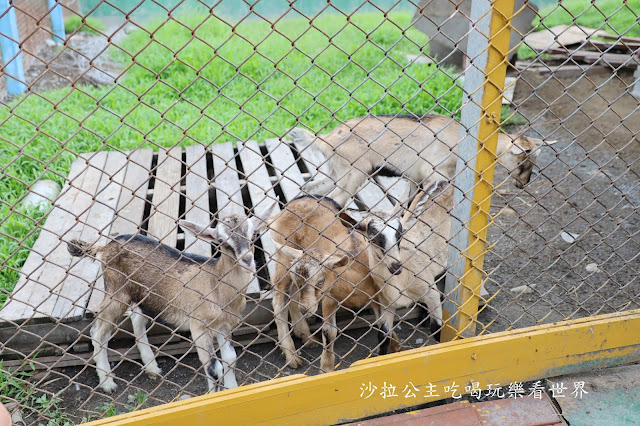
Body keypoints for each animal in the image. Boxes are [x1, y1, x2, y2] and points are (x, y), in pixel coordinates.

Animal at [67, 203, 276, 392]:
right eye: (222, 241)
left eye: (253, 235)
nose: (247, 260)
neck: (216, 284)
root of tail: (105, 247)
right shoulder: (198, 325)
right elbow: (213, 367)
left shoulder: (224, 325)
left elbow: (230, 358)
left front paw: (232, 390)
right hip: (116, 291)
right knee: (98, 332)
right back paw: (107, 383)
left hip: (143, 295)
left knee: (136, 319)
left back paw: (151, 366)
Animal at [268, 195, 402, 372]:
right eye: (373, 237)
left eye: (400, 235)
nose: (396, 266)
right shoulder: (329, 297)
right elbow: (329, 332)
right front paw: (326, 368)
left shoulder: (377, 297)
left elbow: (384, 326)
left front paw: (396, 347)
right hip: (282, 257)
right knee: (279, 304)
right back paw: (292, 357)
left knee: (293, 297)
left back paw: (307, 336)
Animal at [290, 113, 556, 206]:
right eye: (523, 162)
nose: (523, 183)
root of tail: (326, 140)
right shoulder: (434, 174)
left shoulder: (414, 177)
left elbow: (401, 206)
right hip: (355, 173)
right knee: (336, 199)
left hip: (336, 173)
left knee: (309, 188)